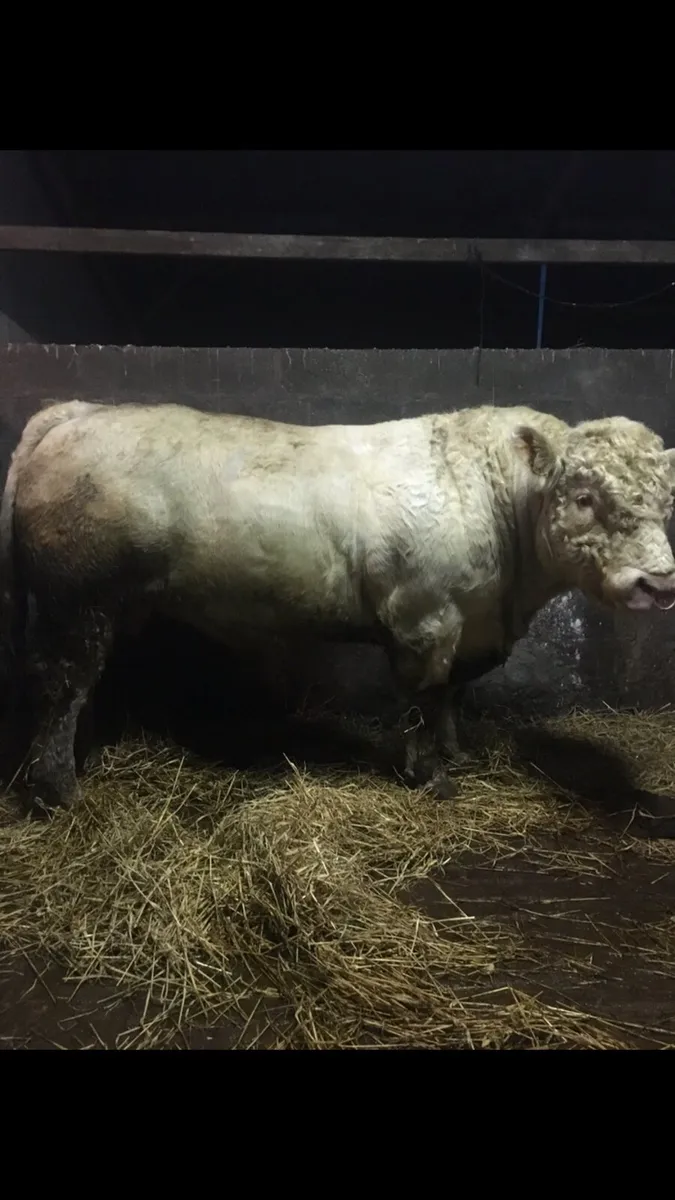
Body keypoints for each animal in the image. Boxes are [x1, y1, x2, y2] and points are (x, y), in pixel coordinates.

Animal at [1, 397, 675, 815]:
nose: (658, 582)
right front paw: (430, 775)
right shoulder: (425, 617)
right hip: (74, 601)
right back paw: (59, 790)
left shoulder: (469, 626)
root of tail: (76, 412)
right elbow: (424, 698)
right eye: (584, 497)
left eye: (665, 502)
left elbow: (452, 696)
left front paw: (456, 752)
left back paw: (82, 759)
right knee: (61, 685)